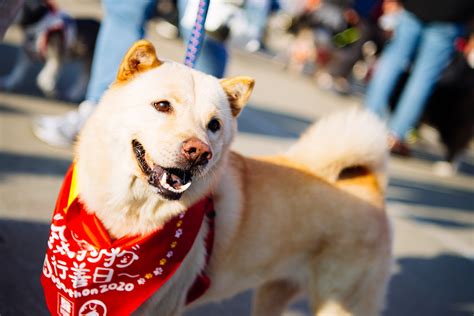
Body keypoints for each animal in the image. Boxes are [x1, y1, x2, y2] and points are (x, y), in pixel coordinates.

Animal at [42, 40, 392, 316]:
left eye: (214, 125)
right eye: (162, 105)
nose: (199, 152)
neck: (129, 213)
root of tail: (369, 184)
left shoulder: (160, 307)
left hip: (339, 304)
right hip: (272, 293)